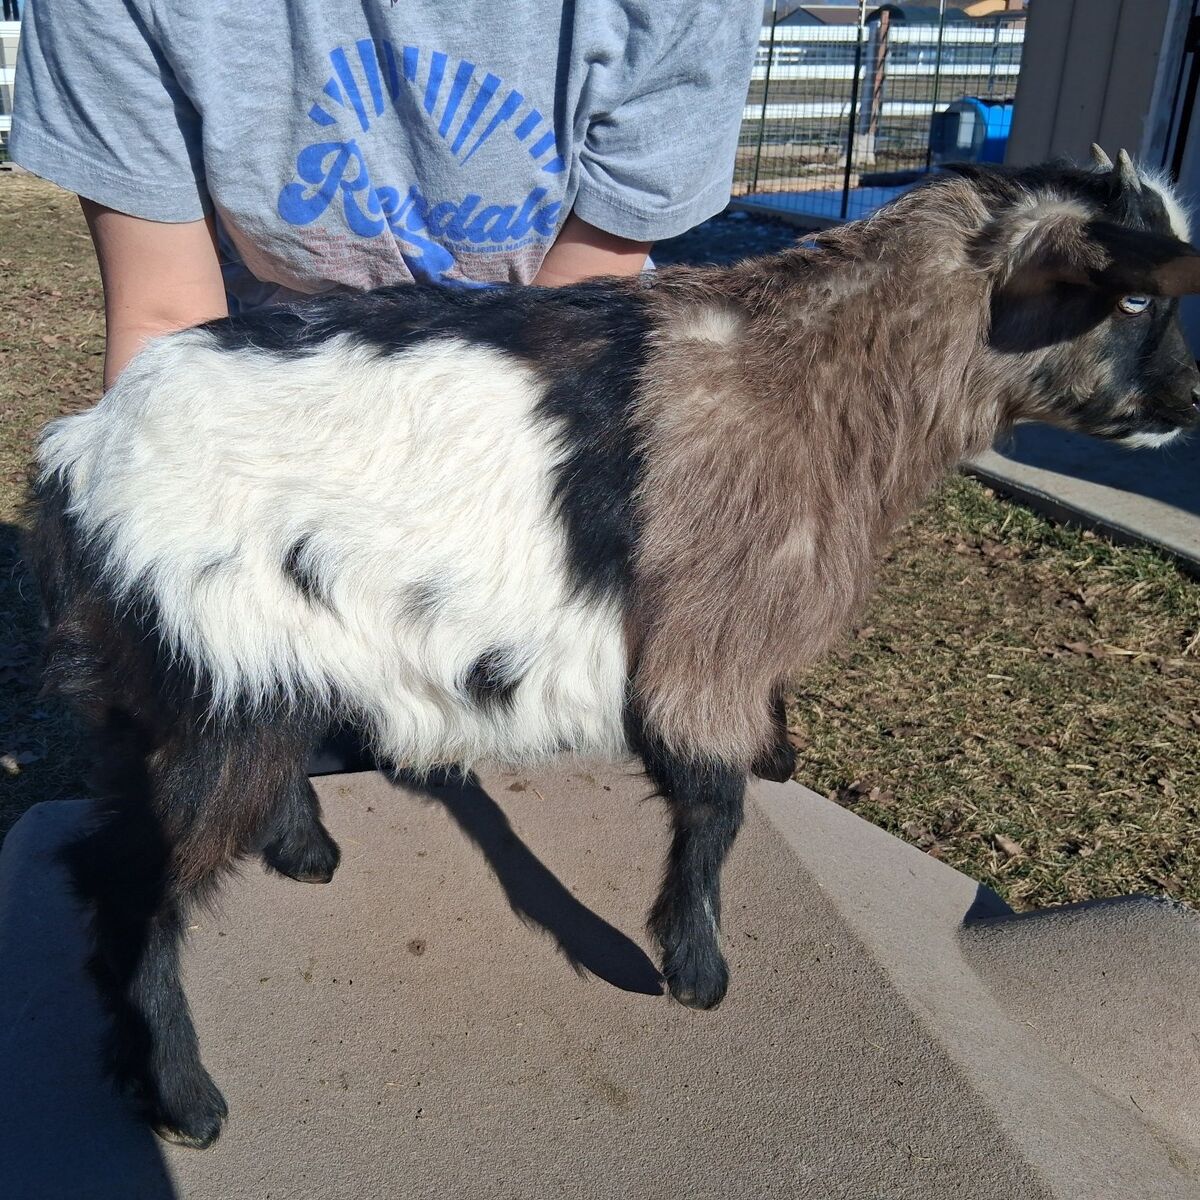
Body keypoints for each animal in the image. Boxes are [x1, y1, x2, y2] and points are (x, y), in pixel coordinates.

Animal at [27, 151, 1200, 1147]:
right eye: (1135, 296)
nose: (1187, 400)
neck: (822, 377)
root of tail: (83, 450)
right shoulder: (705, 634)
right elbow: (713, 805)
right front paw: (696, 969)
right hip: (208, 671)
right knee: (126, 879)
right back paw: (183, 1096)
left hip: (232, 668)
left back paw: (304, 851)